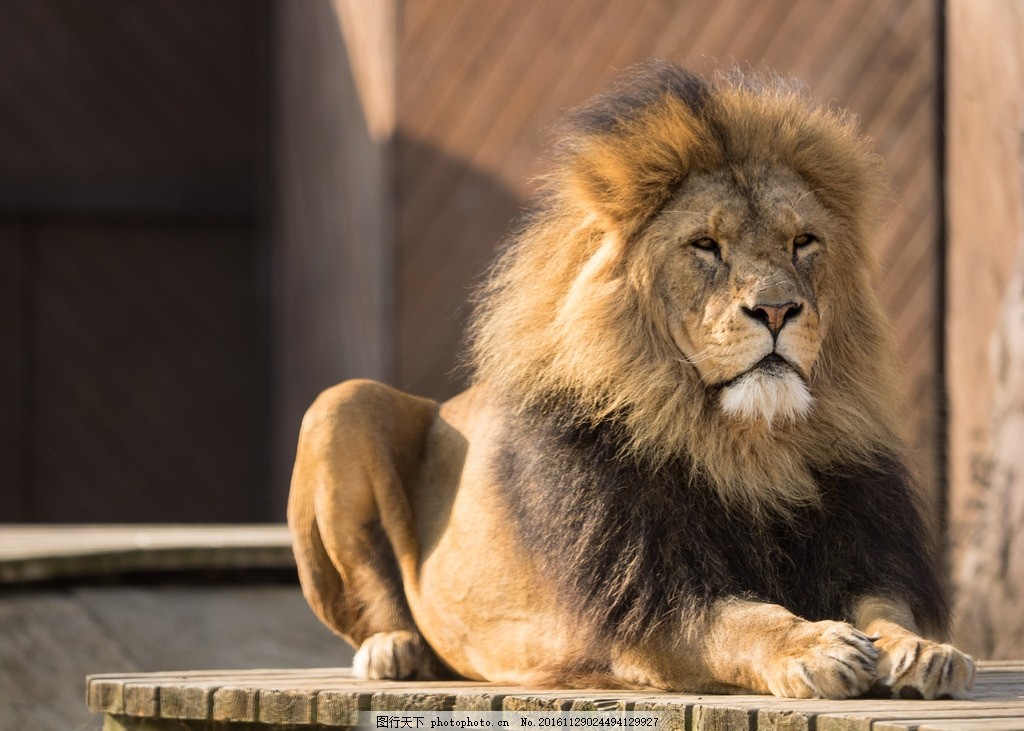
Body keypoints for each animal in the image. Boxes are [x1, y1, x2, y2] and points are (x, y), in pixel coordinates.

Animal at [290, 59, 974, 696]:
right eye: (705, 245)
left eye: (804, 241)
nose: (778, 310)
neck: (751, 447)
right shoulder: (646, 604)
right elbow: (743, 621)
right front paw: (814, 647)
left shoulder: (862, 552)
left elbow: (886, 609)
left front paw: (924, 649)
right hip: (341, 403)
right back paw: (393, 649)